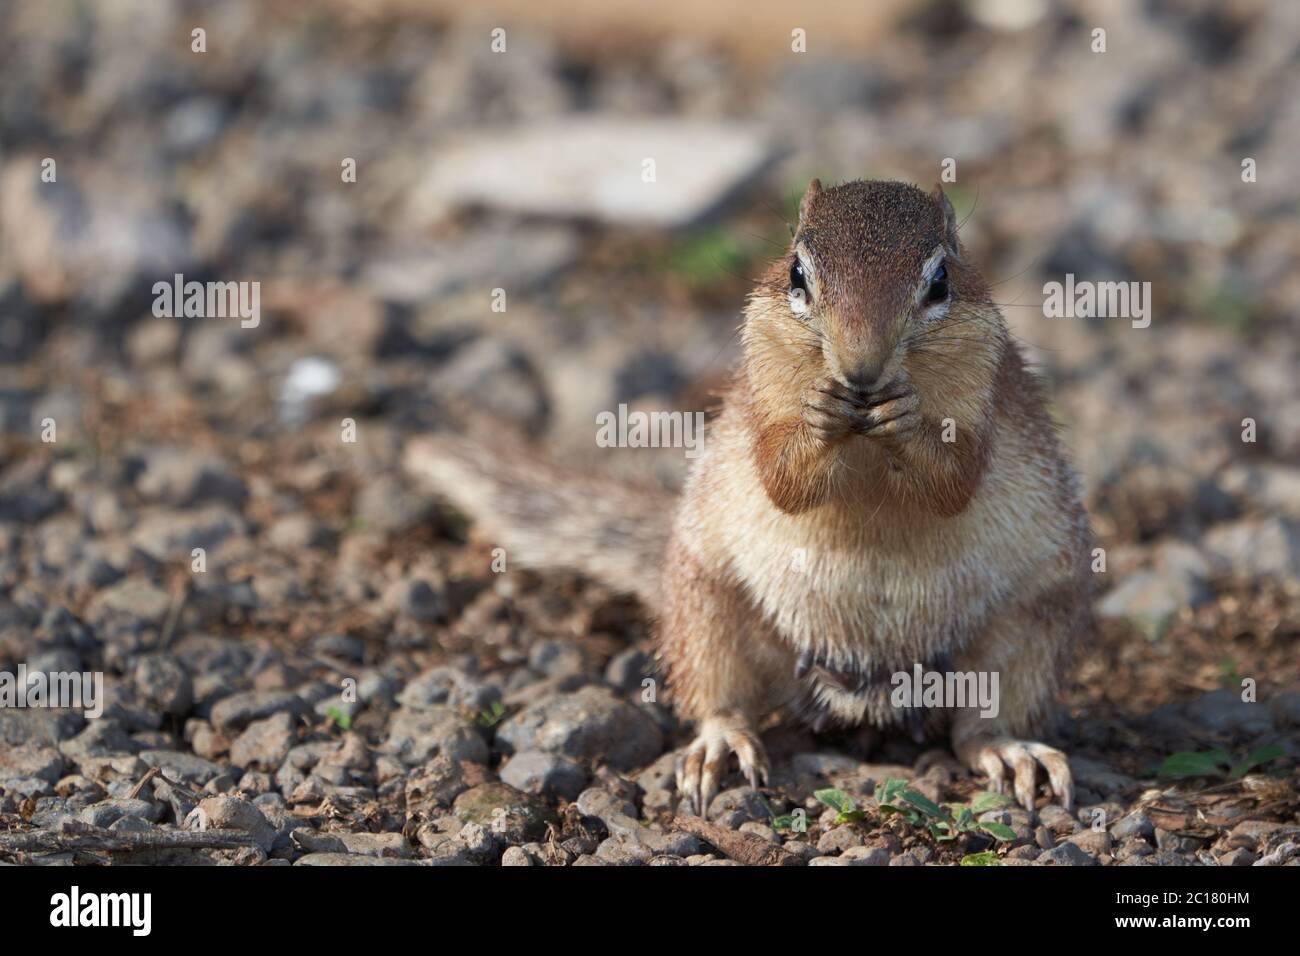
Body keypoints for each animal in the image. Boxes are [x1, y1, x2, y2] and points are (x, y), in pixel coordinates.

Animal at [400, 178, 1092, 816]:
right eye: (797, 274)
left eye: (941, 280)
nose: (860, 370)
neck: (863, 433)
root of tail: (862, 690)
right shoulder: (762, 389)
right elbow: (780, 479)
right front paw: (819, 413)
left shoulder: (984, 390)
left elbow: (955, 480)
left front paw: (908, 417)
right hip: (707, 610)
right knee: (721, 697)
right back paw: (721, 744)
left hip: (1030, 628)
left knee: (977, 726)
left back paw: (1011, 752)